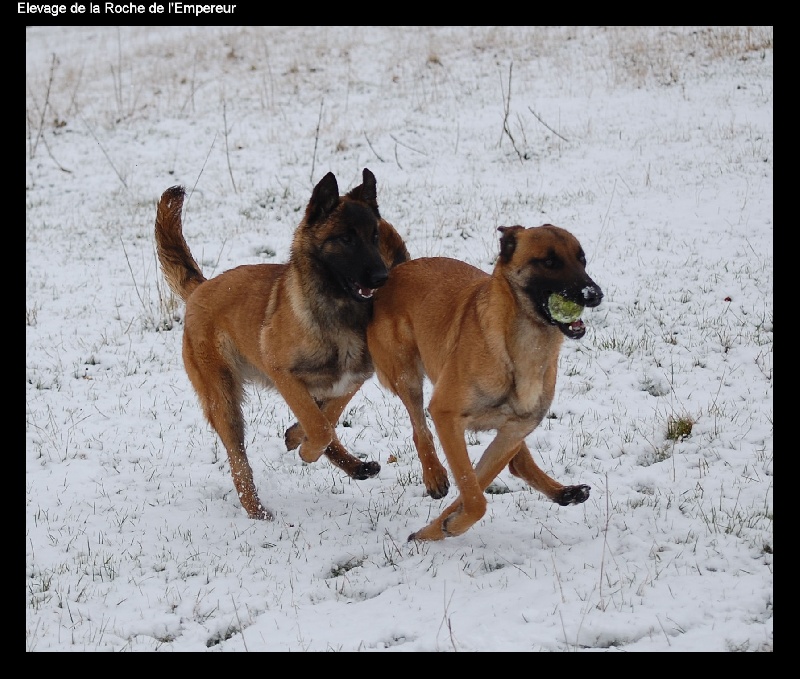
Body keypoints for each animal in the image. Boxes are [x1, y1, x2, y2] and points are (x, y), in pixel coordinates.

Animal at [366, 224, 604, 540]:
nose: (595, 294)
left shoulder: (512, 433)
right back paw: (434, 475)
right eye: (549, 262)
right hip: (407, 378)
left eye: (582, 259)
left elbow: (474, 487)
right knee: (420, 430)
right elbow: (473, 493)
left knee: (516, 462)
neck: (522, 350)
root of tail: (398, 270)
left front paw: (441, 526)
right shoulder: (445, 416)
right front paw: (439, 530)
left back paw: (563, 492)